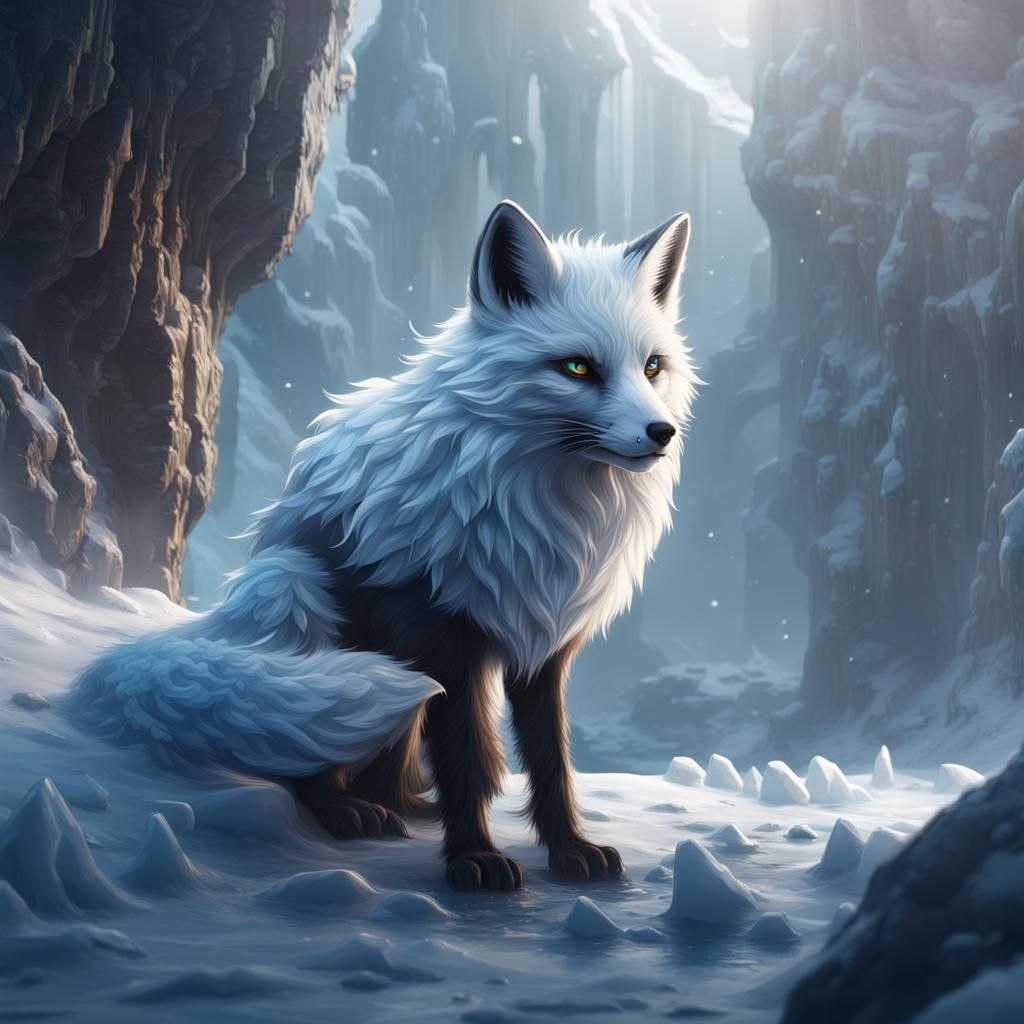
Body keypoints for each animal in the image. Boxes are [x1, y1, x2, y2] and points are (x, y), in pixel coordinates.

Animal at [71, 200, 698, 891]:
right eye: (578, 367)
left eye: (652, 367)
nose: (661, 432)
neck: (545, 508)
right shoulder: (440, 626)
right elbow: (467, 757)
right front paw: (474, 860)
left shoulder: (544, 642)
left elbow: (550, 759)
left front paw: (569, 849)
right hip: (294, 590)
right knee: (307, 758)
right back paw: (348, 810)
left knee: (391, 769)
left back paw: (403, 805)